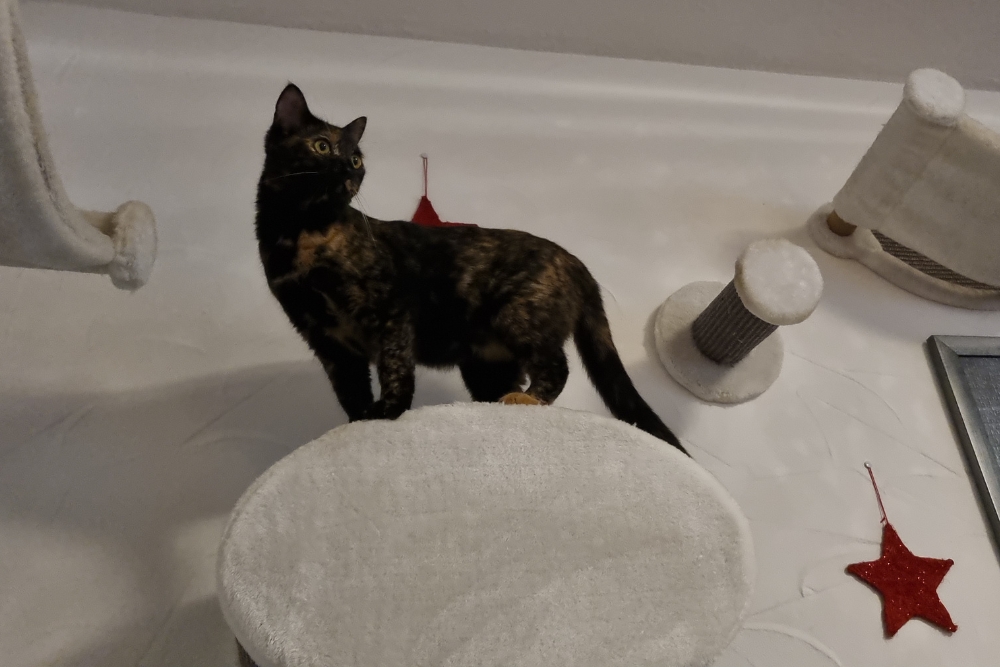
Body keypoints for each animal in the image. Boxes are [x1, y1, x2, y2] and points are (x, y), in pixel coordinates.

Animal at [255, 83, 685, 453]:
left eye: (356, 158)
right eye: (322, 146)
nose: (348, 170)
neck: (297, 236)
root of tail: (577, 262)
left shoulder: (389, 310)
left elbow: (395, 369)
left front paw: (387, 414)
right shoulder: (326, 340)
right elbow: (350, 391)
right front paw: (354, 427)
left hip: (519, 317)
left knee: (556, 366)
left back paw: (524, 401)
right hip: (484, 364)